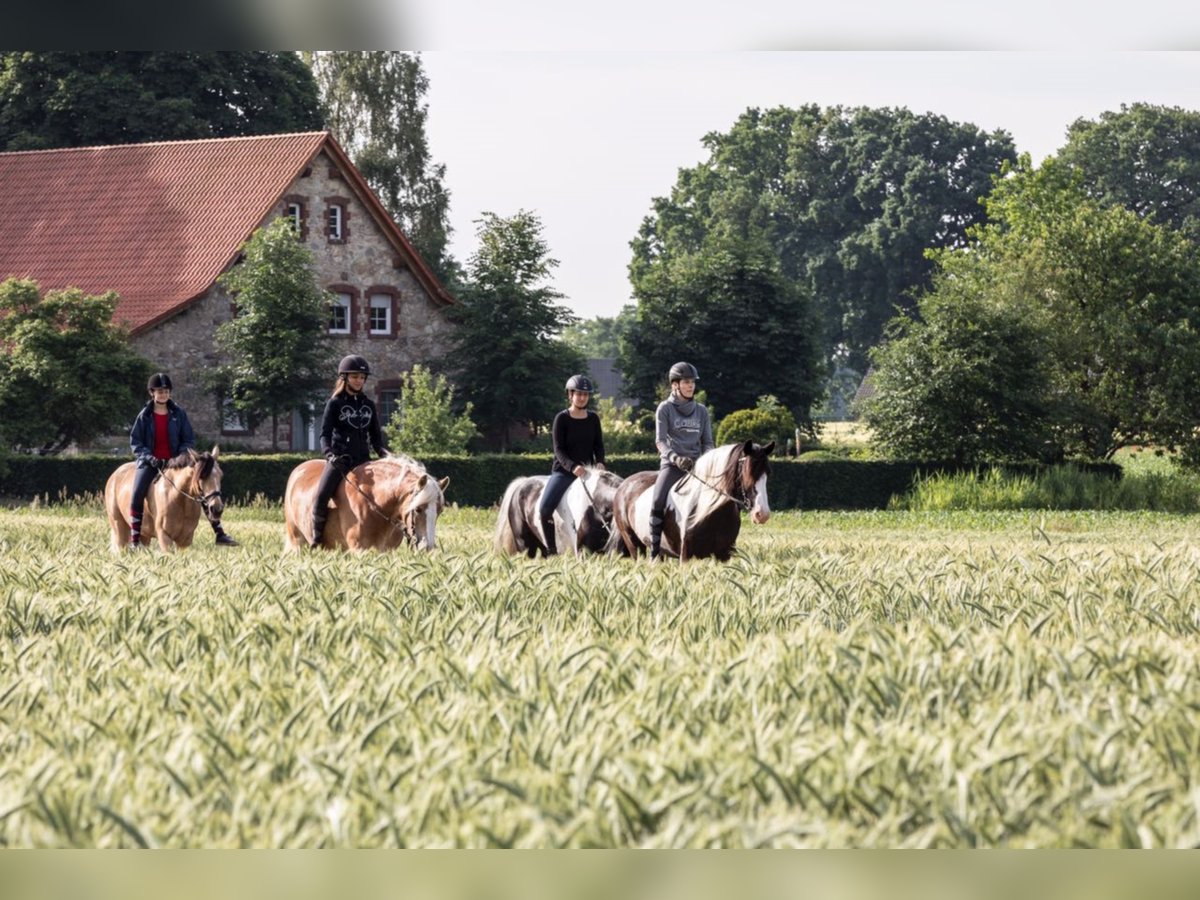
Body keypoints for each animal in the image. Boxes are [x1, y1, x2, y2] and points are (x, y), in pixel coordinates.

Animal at [282, 453, 451, 554]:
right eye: (418, 509)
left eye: (439, 511)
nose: (427, 548)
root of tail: (299, 469)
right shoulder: (360, 550)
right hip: (297, 542)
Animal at [609, 444, 777, 564]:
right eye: (748, 472)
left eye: (768, 473)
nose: (762, 514)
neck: (708, 511)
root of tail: (624, 485)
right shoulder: (686, 557)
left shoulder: (723, 555)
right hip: (633, 545)